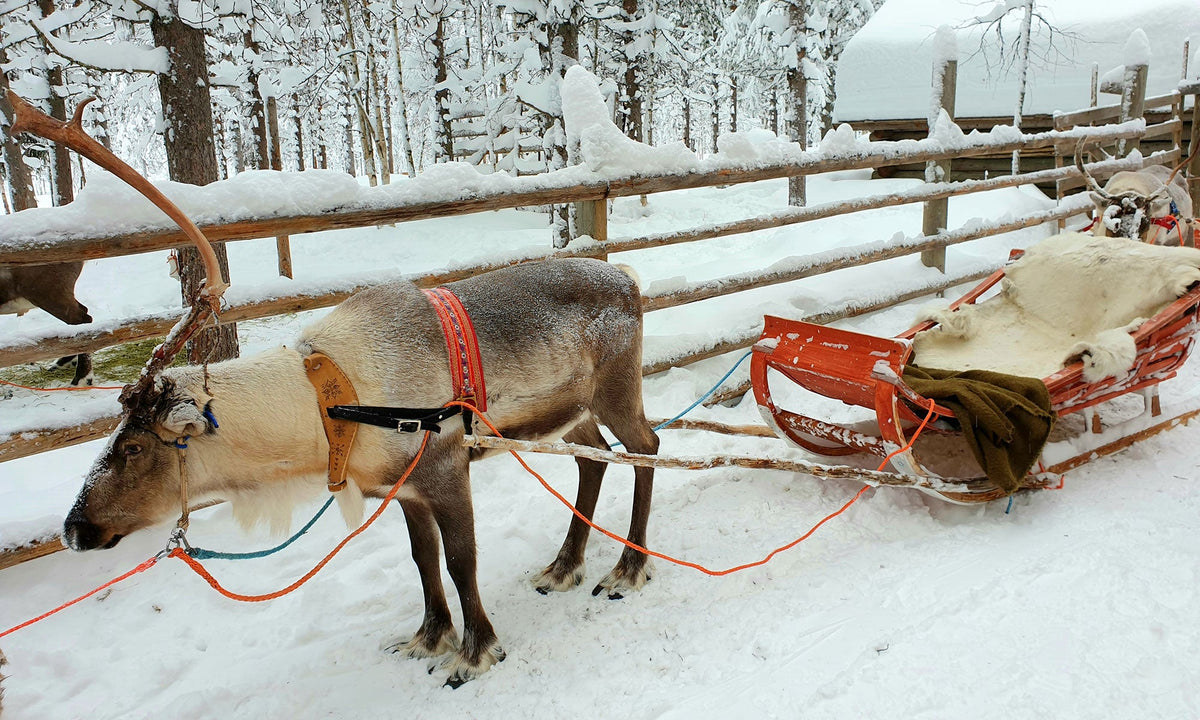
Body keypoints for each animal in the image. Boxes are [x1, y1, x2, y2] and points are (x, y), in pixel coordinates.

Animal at [6, 91, 659, 687]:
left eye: (135, 446)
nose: (74, 530)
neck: (327, 406)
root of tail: (627, 277)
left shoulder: (445, 467)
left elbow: (461, 562)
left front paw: (475, 653)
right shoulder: (399, 485)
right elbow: (423, 560)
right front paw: (428, 638)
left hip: (617, 390)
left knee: (645, 447)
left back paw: (627, 569)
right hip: (571, 410)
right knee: (594, 459)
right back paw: (565, 566)